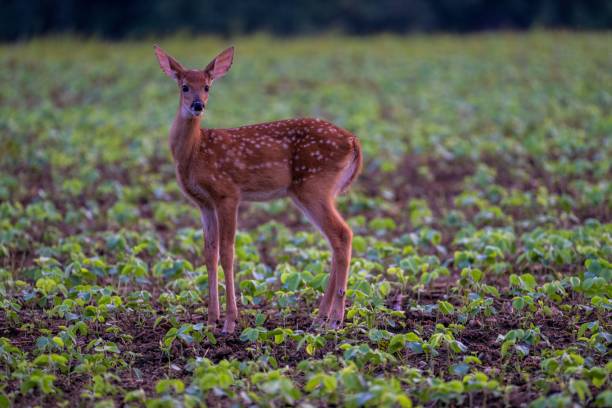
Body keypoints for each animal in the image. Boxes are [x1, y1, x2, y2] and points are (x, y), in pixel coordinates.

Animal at [155, 44, 360, 334]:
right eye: (184, 86)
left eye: (207, 86)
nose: (198, 105)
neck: (194, 152)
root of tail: (353, 141)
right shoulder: (203, 202)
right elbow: (209, 253)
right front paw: (210, 320)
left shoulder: (228, 193)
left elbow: (227, 252)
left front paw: (230, 322)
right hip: (316, 191)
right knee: (335, 240)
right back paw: (320, 317)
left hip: (314, 186)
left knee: (343, 234)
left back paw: (334, 319)